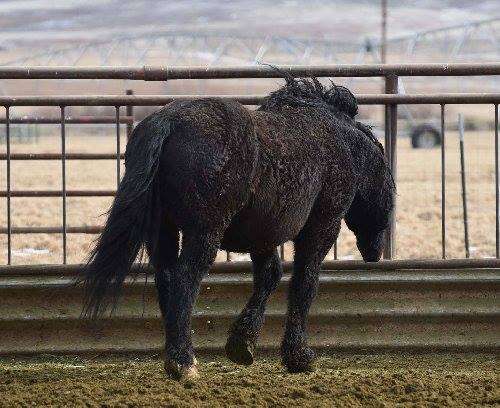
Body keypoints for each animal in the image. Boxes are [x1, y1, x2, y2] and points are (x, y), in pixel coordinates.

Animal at [80, 76, 396, 380]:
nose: (375, 252)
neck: (340, 145)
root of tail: (167, 121)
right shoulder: (321, 227)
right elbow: (304, 283)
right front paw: (298, 356)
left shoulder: (263, 236)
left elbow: (269, 277)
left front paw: (242, 344)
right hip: (204, 233)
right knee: (184, 280)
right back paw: (184, 363)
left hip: (164, 231)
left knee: (167, 280)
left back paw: (175, 358)